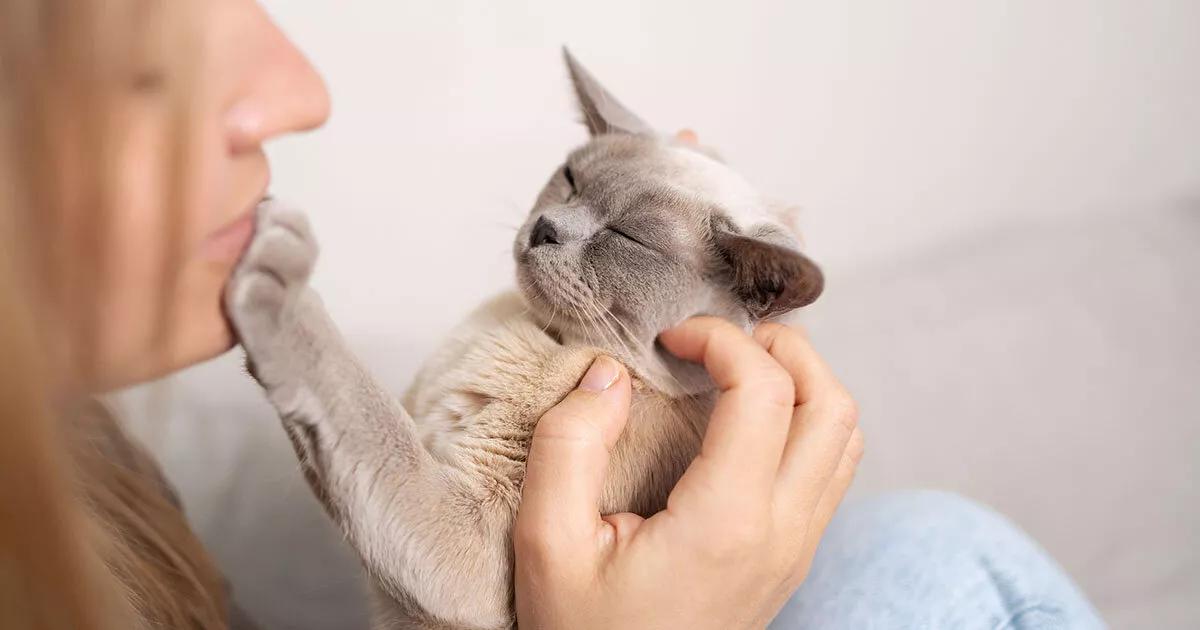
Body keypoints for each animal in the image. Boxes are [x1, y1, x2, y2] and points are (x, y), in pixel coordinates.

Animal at [225, 50, 820, 628]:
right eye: (571, 179)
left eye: (627, 237)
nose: (546, 227)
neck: (536, 332)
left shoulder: (479, 538)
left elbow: (370, 418)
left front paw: (272, 273)